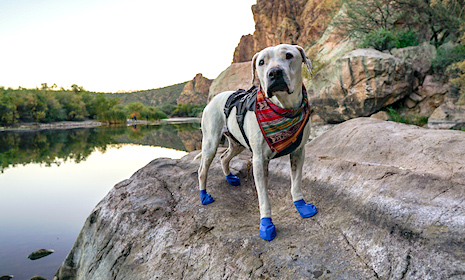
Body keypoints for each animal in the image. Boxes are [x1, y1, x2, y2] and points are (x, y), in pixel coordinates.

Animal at [198, 43, 318, 241]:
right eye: (261, 62)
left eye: (288, 55)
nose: (274, 72)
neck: (283, 109)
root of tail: (214, 98)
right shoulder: (259, 161)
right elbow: (263, 198)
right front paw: (266, 224)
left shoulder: (299, 152)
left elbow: (296, 183)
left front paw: (301, 206)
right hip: (210, 143)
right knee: (202, 170)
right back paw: (204, 196)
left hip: (237, 144)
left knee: (224, 157)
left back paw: (230, 177)